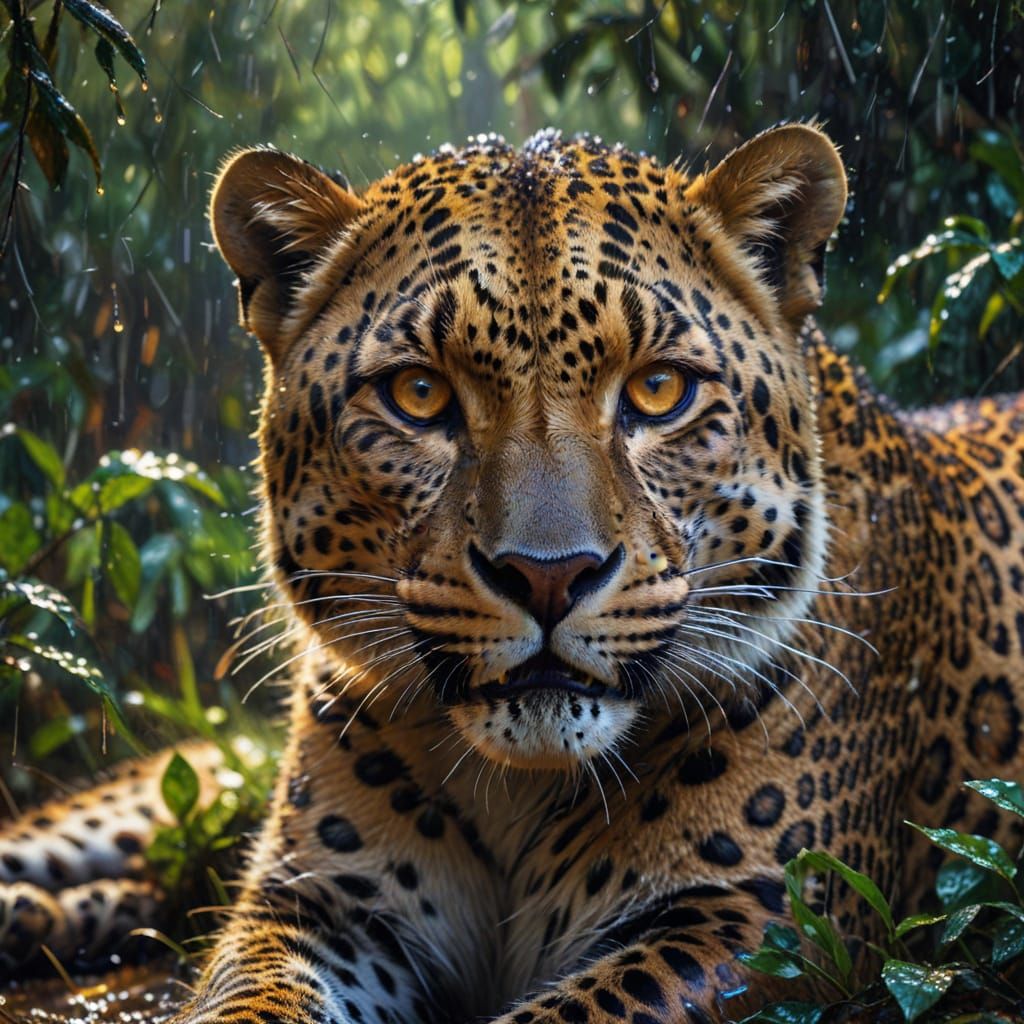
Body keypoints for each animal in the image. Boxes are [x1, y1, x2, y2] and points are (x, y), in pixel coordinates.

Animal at [3, 123, 1024, 1023]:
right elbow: (247, 995)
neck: (515, 792)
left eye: (660, 390)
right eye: (419, 395)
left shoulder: (764, 918)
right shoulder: (322, 899)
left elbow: (571, 1014)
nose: (548, 576)